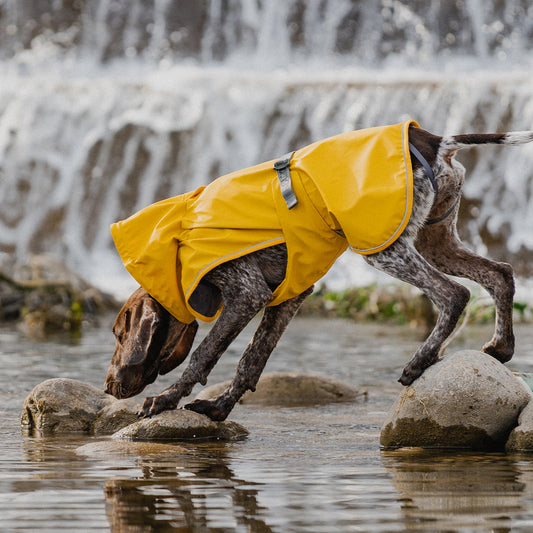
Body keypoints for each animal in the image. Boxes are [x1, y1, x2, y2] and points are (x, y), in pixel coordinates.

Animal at [103, 123, 532, 420]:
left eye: (120, 334)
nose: (107, 387)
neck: (179, 247)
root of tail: (434, 139)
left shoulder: (246, 294)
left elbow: (204, 355)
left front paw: (165, 399)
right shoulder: (288, 296)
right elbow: (252, 360)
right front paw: (221, 407)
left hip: (384, 248)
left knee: (453, 294)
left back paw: (420, 362)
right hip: (436, 242)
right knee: (500, 274)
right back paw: (501, 347)